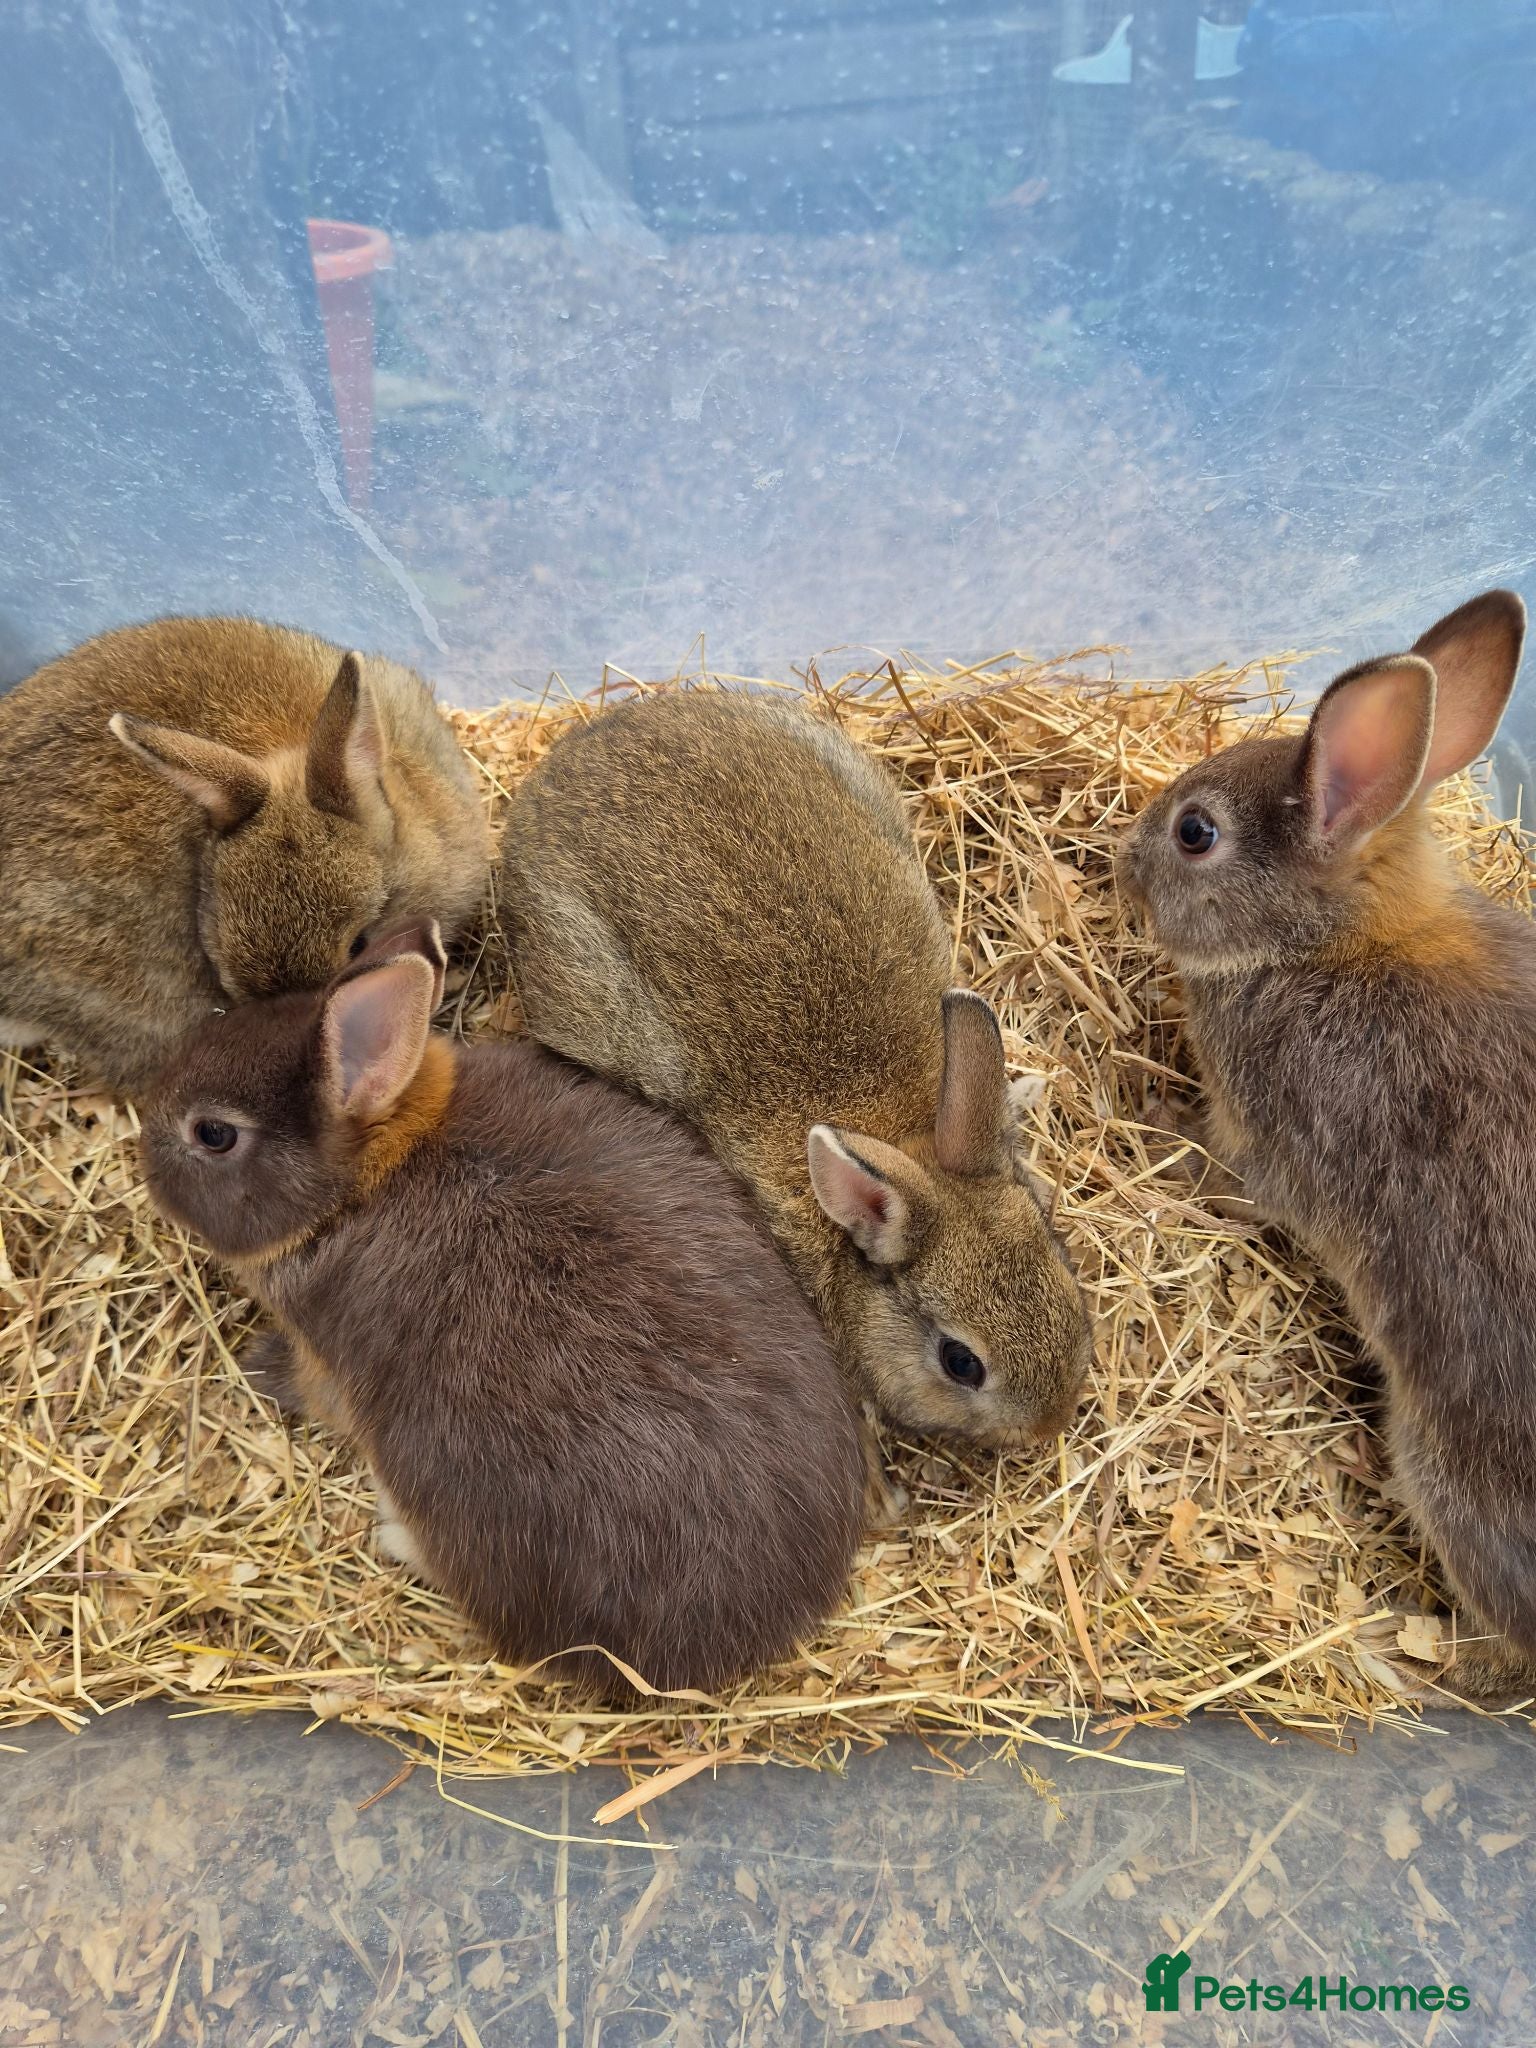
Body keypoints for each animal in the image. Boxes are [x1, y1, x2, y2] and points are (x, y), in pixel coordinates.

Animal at [1119, 588, 1536, 1700]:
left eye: (1196, 832)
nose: (1123, 860)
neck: (1334, 942)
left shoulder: (1270, 1147)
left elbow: (1223, 1179)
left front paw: (1150, 1119)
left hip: (1449, 1481)